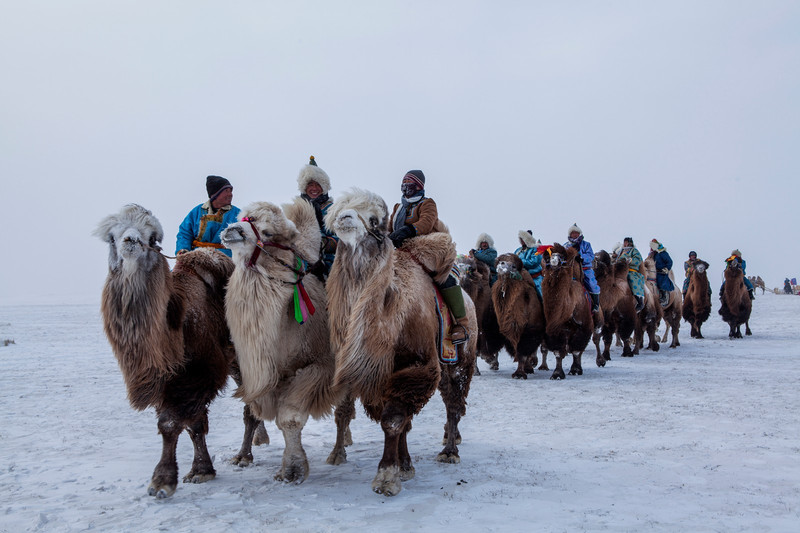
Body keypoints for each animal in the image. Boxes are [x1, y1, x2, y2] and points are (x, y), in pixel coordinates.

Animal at [94, 205, 256, 498]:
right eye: (112, 237)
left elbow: (170, 423)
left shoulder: (198, 373)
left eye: (152, 237)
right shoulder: (170, 378)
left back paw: (244, 456)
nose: (130, 241)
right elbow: (194, 425)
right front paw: (201, 470)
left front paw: (163, 480)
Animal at [220, 198, 340, 482]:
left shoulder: (319, 366)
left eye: (268, 233)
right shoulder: (271, 374)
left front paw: (293, 469)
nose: (231, 230)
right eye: (244, 218)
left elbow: (290, 418)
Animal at [324, 189, 476, 496]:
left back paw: (449, 451)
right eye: (340, 208)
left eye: (374, 220)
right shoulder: (377, 370)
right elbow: (400, 421)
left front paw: (387, 476)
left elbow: (393, 420)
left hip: (462, 362)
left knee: (454, 402)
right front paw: (404, 467)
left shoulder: (418, 365)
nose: (345, 217)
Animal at [536, 241, 596, 378]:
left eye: (562, 258)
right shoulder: (555, 328)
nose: (553, 261)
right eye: (548, 258)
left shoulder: (584, 326)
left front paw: (576, 370)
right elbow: (558, 351)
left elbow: (577, 350)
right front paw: (557, 374)